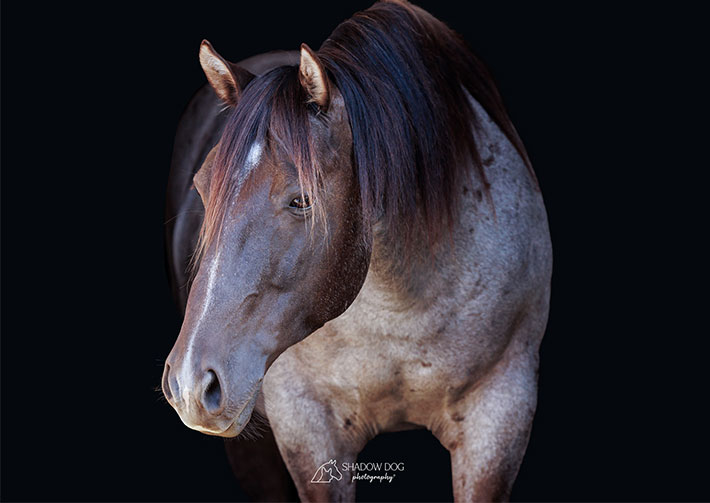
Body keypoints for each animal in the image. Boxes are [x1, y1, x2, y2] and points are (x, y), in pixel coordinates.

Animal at [162, 1, 552, 501]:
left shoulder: (500, 415)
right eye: (202, 188)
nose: (190, 381)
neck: (401, 306)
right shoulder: (307, 426)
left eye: (302, 200)